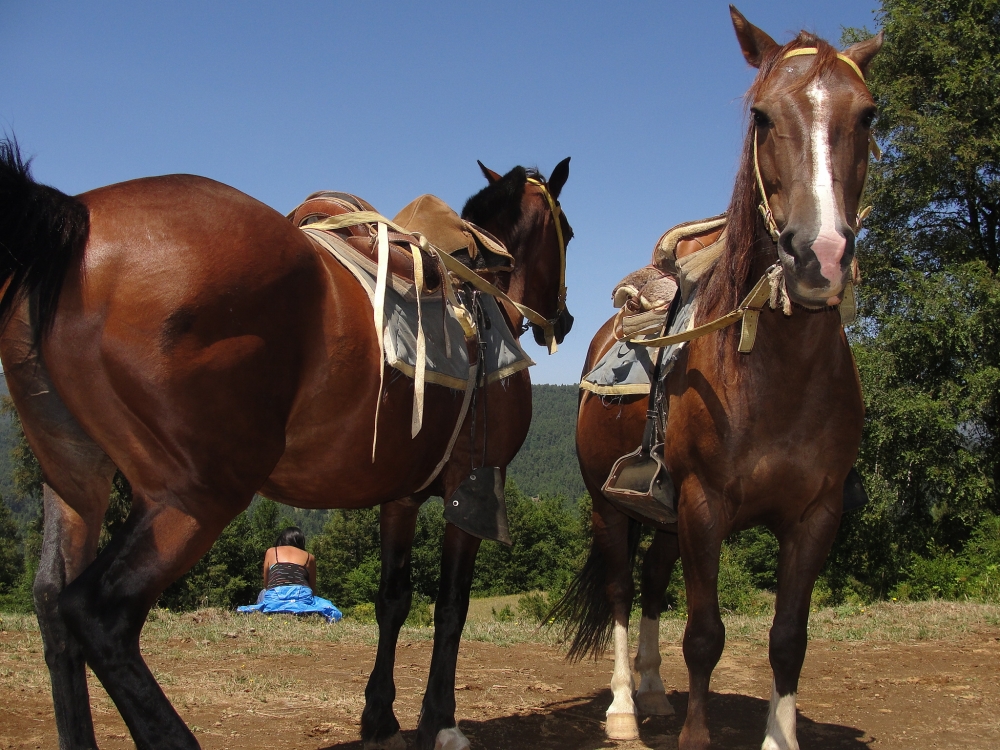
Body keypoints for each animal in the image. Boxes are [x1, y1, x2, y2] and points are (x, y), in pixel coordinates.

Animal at [0, 147, 576, 750]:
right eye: (570, 233)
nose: (563, 319)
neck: (480, 291)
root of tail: (74, 220)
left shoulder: (401, 497)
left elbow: (393, 600)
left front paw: (380, 716)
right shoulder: (473, 487)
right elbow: (451, 606)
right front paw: (439, 720)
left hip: (74, 481)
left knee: (50, 601)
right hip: (195, 495)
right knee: (97, 612)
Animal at [564, 10, 884, 750]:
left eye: (867, 115)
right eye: (762, 116)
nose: (820, 257)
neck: (777, 377)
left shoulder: (815, 515)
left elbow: (788, 639)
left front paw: (778, 736)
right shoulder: (705, 504)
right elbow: (705, 635)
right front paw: (693, 735)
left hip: (663, 515)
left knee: (654, 585)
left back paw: (654, 693)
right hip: (610, 507)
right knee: (622, 592)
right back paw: (624, 708)